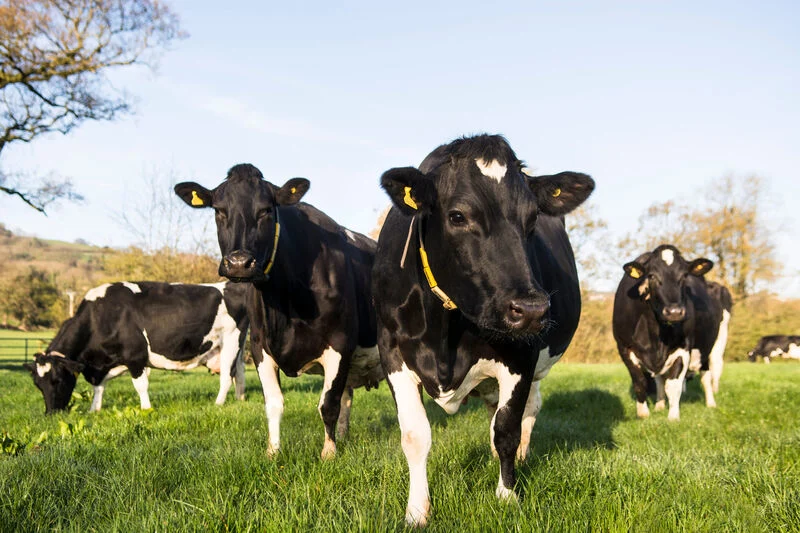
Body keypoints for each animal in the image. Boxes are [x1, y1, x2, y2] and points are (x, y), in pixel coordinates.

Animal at [24, 280, 247, 414]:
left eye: (58, 380)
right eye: (37, 384)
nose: (51, 413)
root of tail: (228, 284)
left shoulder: (135, 356)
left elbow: (141, 385)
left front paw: (146, 409)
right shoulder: (103, 365)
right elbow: (98, 387)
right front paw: (94, 410)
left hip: (231, 341)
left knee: (226, 377)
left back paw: (218, 403)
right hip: (234, 348)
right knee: (240, 372)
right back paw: (240, 399)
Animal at [177, 164, 382, 460]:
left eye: (266, 210)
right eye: (218, 210)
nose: (239, 263)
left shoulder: (340, 343)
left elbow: (327, 404)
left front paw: (328, 453)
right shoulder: (260, 346)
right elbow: (274, 403)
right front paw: (273, 451)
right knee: (347, 396)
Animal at [372, 133, 592, 524]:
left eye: (533, 217)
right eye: (458, 216)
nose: (532, 309)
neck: (445, 334)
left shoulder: (521, 356)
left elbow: (507, 431)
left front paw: (507, 496)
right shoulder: (392, 352)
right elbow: (414, 435)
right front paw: (417, 510)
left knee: (527, 412)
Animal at [612, 245, 732, 420]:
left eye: (684, 275)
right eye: (651, 275)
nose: (674, 312)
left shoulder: (683, 347)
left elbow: (673, 385)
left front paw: (673, 417)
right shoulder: (624, 347)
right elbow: (640, 382)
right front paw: (643, 414)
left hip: (715, 342)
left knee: (709, 372)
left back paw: (711, 402)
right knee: (660, 379)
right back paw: (660, 405)